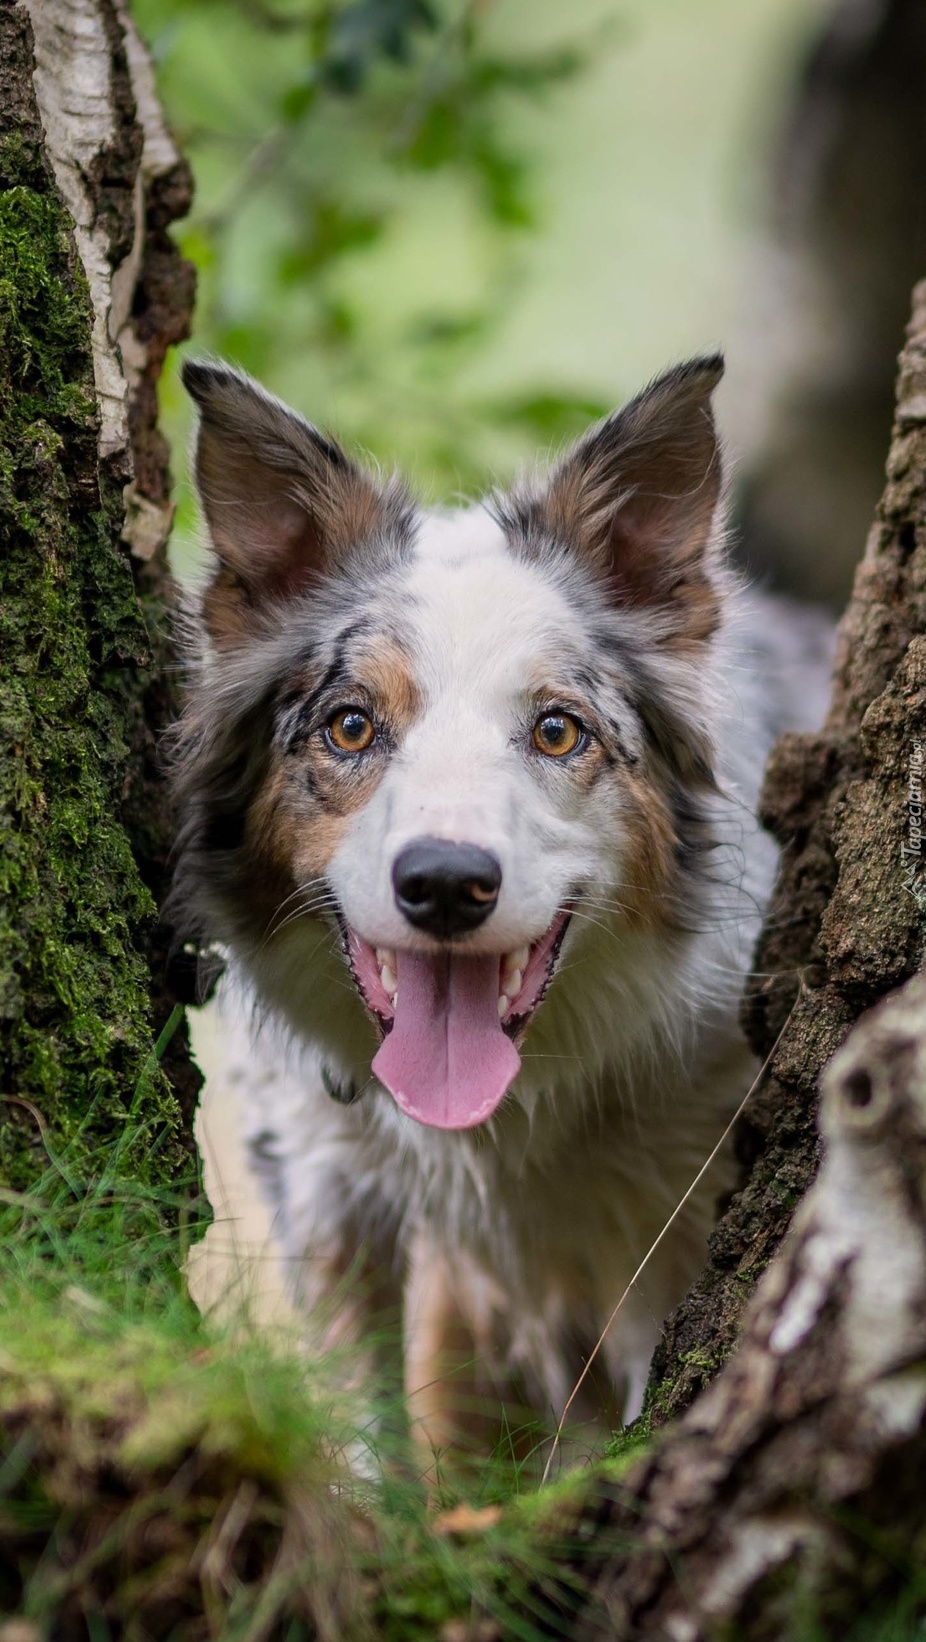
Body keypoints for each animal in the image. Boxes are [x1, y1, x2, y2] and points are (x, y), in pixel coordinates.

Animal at [169, 359, 834, 1464]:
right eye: (351, 726)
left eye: (558, 731)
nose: (445, 883)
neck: (497, 1120)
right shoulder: (320, 1175)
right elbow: (363, 1421)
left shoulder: (676, 1212)